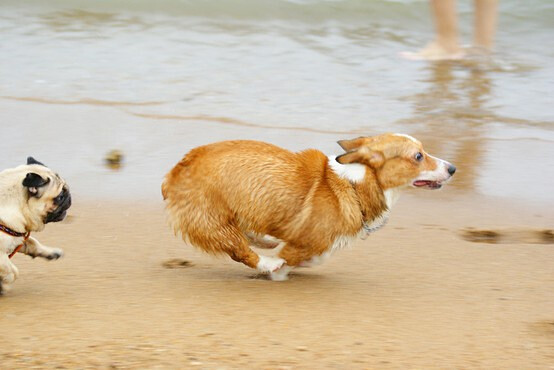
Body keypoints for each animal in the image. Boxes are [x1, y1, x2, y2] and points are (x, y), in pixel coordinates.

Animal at [162, 133, 454, 280]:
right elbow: (301, 256)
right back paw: (268, 262)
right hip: (214, 221)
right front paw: (280, 268)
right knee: (240, 250)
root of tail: (176, 170)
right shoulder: (308, 243)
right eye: (418, 156)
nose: (452, 168)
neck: (357, 183)